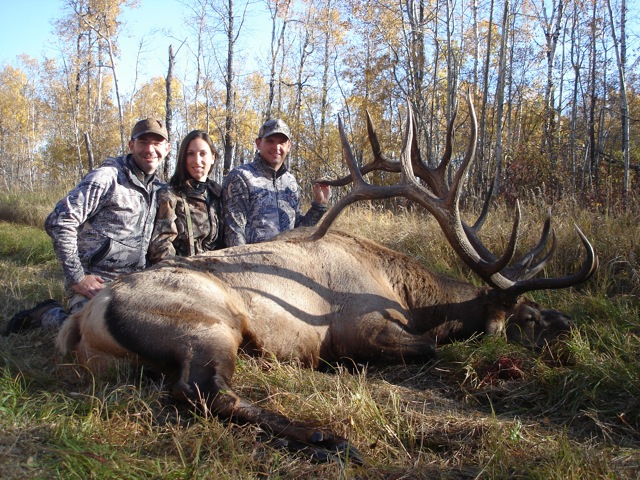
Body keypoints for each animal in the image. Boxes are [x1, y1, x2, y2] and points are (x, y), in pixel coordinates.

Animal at [56, 94, 597, 464]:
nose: (569, 325)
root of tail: (82, 318)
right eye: (528, 316)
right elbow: (428, 347)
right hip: (206, 323)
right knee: (202, 390)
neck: (408, 297)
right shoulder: (360, 329)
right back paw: (328, 438)